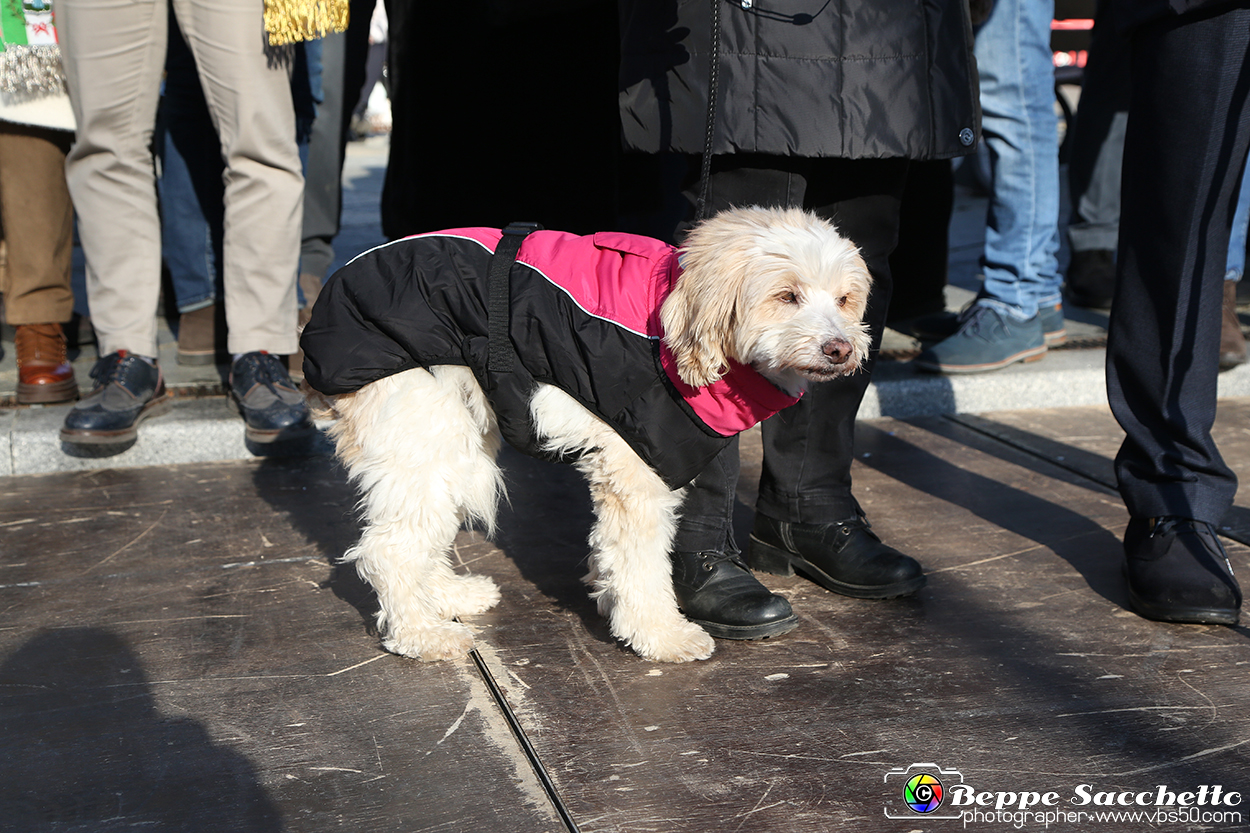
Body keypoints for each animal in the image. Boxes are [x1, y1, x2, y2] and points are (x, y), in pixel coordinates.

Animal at [305, 203, 870, 660]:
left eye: (844, 300)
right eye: (787, 295)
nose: (841, 349)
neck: (669, 318)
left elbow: (617, 552)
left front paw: (609, 592)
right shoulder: (638, 472)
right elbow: (642, 564)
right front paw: (660, 634)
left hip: (456, 441)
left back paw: (447, 595)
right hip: (424, 432)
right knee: (390, 549)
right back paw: (422, 634)